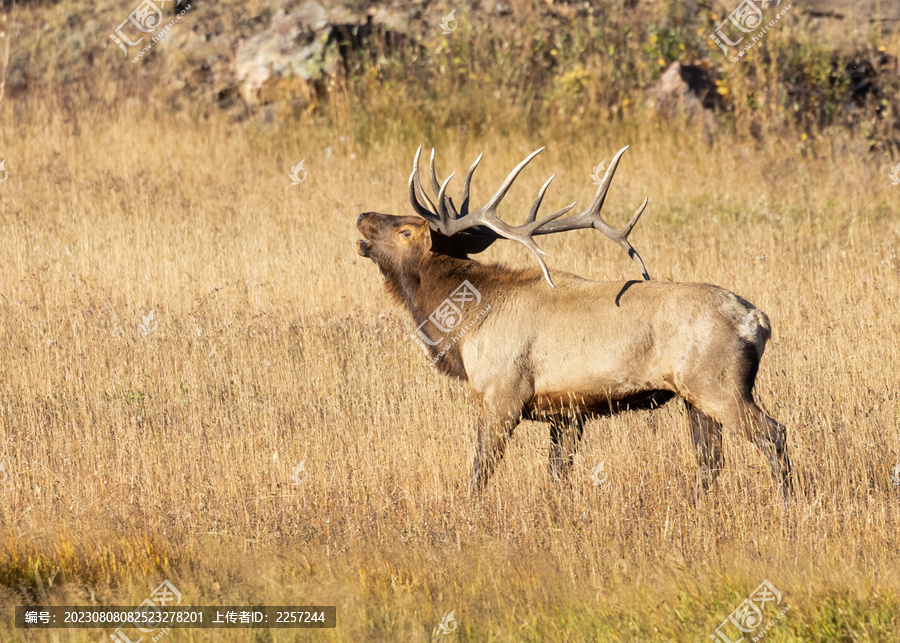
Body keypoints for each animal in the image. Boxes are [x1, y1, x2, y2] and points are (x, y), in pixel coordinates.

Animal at [356, 146, 792, 504]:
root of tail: (757, 321)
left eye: (405, 230)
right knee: (710, 459)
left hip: (719, 384)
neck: (466, 326)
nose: (362, 215)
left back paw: (791, 504)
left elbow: (481, 471)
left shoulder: (502, 393)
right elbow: (557, 475)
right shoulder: (566, 412)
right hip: (693, 396)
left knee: (773, 434)